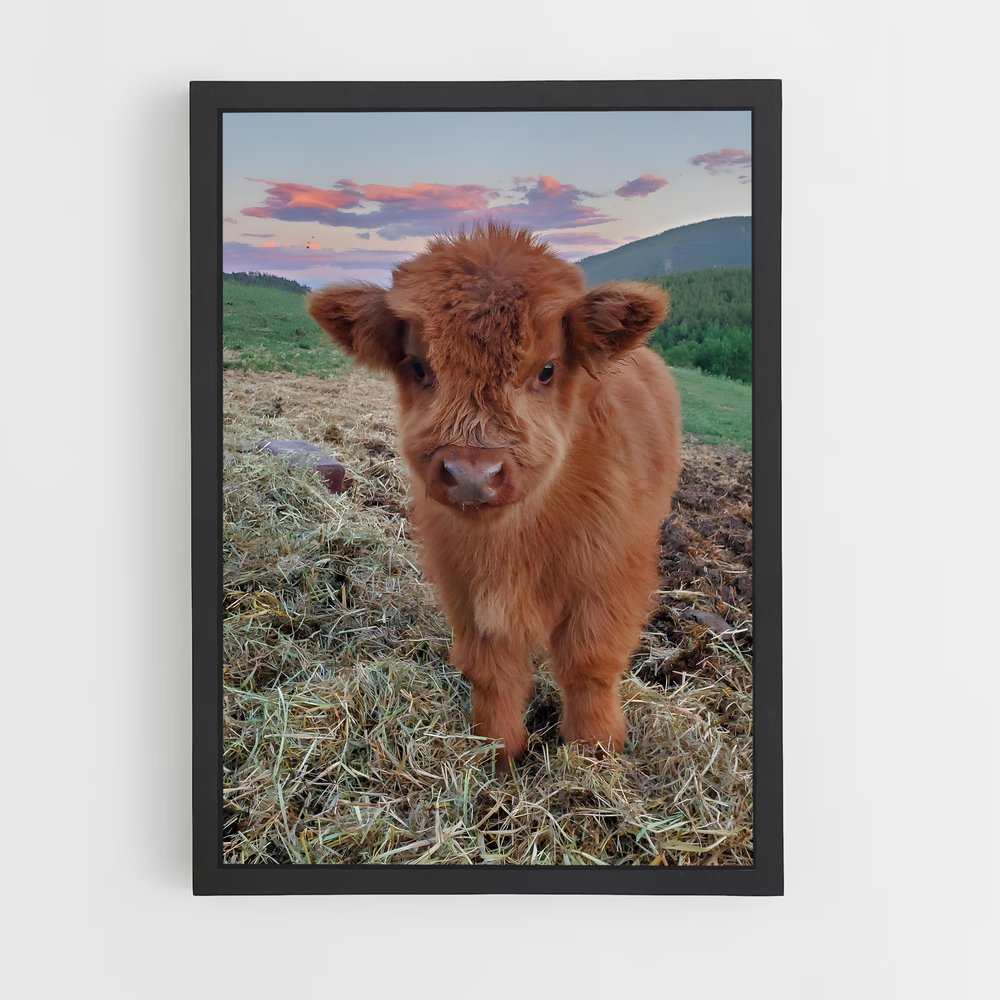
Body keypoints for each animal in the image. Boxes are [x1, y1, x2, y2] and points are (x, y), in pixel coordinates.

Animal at [308, 224, 681, 769]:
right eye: (417, 366)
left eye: (547, 369)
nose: (471, 474)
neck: (516, 541)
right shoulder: (464, 583)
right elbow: (491, 669)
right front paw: (497, 752)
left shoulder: (610, 577)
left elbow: (589, 662)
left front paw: (595, 752)